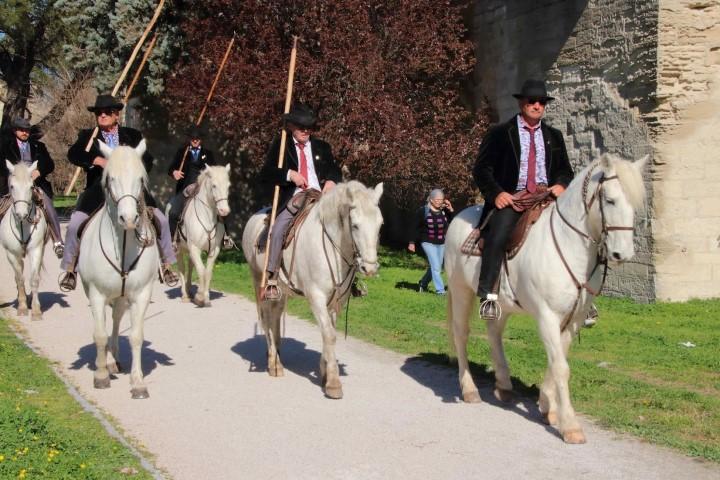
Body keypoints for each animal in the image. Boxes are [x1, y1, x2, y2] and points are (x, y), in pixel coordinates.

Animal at [0, 159, 47, 320]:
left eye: (31, 186)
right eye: (12, 186)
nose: (21, 214)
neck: (22, 225)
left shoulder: (36, 250)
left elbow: (34, 278)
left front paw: (36, 310)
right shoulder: (12, 254)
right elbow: (20, 279)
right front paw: (22, 307)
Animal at [77, 141, 159, 400]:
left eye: (140, 179)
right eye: (110, 178)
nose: (129, 218)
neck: (122, 246)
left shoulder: (141, 295)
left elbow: (135, 336)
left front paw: (138, 382)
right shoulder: (96, 294)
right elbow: (99, 334)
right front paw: (101, 375)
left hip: (122, 297)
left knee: (115, 320)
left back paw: (114, 359)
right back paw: (107, 363)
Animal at [170, 165, 229, 306]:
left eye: (228, 186)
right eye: (214, 186)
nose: (224, 211)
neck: (207, 217)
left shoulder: (213, 250)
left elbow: (207, 272)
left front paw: (205, 297)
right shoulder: (195, 248)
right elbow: (201, 271)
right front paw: (200, 297)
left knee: (191, 266)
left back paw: (189, 290)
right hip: (178, 249)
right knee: (182, 268)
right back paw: (185, 295)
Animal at [242, 180, 386, 398]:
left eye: (380, 225)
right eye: (355, 225)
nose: (369, 268)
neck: (332, 246)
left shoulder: (337, 301)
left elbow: (330, 333)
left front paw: (325, 373)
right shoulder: (316, 297)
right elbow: (329, 335)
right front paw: (333, 383)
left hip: (280, 290)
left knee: (275, 316)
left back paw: (276, 356)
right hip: (258, 279)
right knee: (265, 318)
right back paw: (274, 362)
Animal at [444, 154, 648, 442]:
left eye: (636, 203)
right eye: (610, 200)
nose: (623, 254)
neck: (569, 244)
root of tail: (459, 215)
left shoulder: (572, 320)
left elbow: (557, 361)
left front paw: (547, 406)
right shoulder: (547, 316)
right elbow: (561, 367)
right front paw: (570, 425)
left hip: (501, 304)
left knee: (494, 333)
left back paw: (503, 385)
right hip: (461, 290)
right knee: (461, 335)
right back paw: (470, 389)